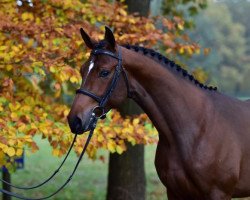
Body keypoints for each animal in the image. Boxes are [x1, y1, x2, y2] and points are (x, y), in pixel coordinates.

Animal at [67, 27, 250, 200]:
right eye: (82, 70)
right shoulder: (175, 193)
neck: (196, 128)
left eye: (104, 72)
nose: (74, 119)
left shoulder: (218, 193)